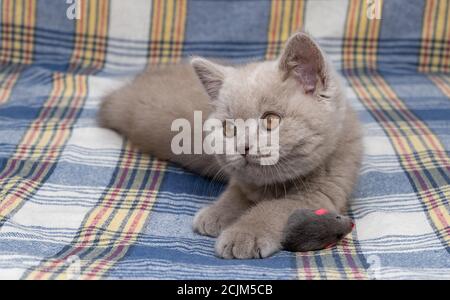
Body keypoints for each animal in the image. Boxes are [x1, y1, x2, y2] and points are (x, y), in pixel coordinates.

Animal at [97, 32, 362, 258]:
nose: (243, 147)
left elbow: (275, 208)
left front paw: (245, 234)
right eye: (228, 128)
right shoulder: (243, 180)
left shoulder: (322, 190)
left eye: (271, 120)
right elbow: (236, 192)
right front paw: (216, 214)